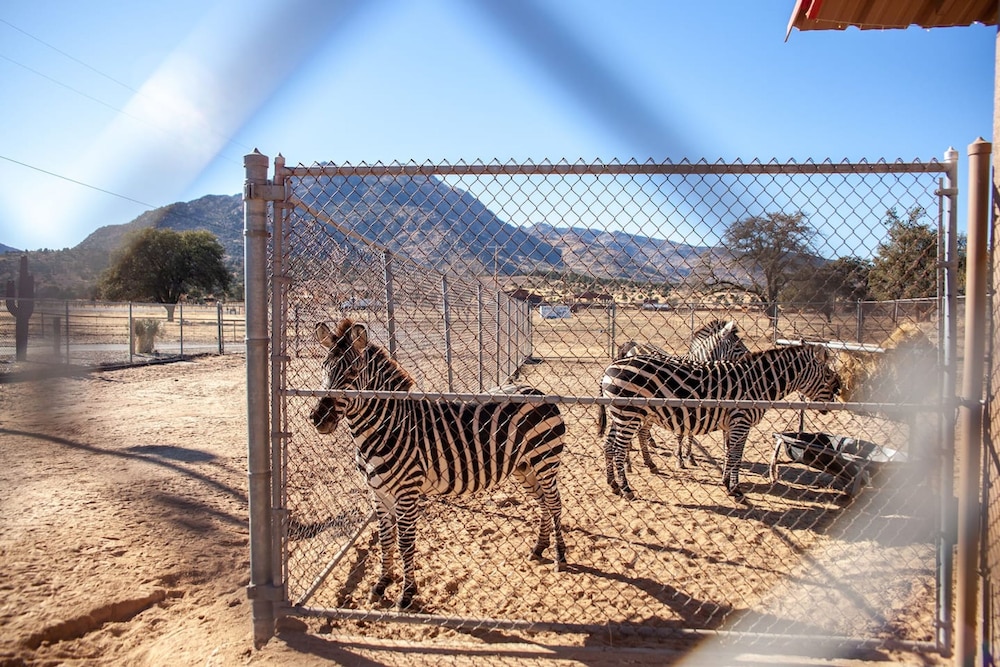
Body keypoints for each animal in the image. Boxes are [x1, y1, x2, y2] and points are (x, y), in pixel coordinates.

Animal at [309, 318, 567, 610]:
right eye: (323, 369)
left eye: (352, 372)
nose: (318, 418)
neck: (385, 426)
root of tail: (537, 391)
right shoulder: (378, 493)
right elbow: (385, 541)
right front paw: (381, 584)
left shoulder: (407, 492)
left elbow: (405, 543)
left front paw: (407, 593)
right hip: (525, 468)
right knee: (544, 503)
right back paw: (539, 547)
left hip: (545, 461)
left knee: (555, 504)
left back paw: (560, 556)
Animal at [599, 344, 841, 501]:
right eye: (829, 376)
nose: (838, 394)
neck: (759, 382)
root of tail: (610, 367)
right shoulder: (741, 422)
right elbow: (736, 456)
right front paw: (735, 489)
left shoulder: (730, 425)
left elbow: (728, 453)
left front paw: (726, 482)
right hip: (629, 414)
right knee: (619, 449)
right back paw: (626, 489)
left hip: (620, 415)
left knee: (609, 445)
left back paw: (613, 484)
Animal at [617, 319, 751, 470]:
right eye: (738, 345)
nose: (751, 358)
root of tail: (633, 345)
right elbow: (681, 434)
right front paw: (680, 458)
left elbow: (691, 433)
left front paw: (689, 456)